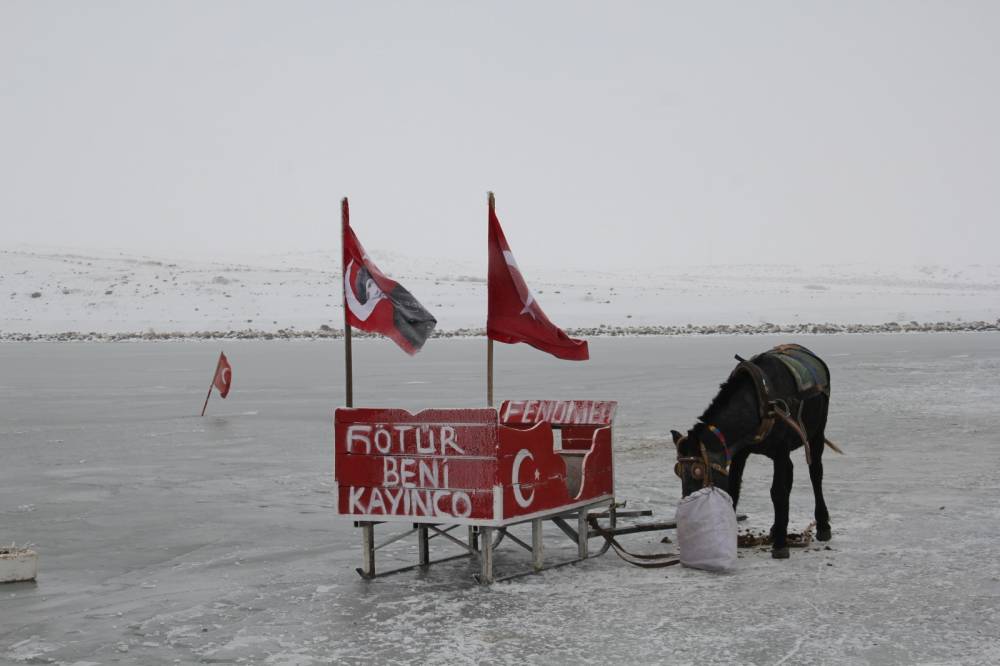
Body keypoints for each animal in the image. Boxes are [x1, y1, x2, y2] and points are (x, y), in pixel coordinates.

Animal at [672, 342, 836, 556]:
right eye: (678, 471)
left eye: (698, 471)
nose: (687, 509)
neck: (759, 401)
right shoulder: (740, 452)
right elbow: (734, 488)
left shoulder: (781, 448)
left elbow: (778, 492)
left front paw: (781, 545)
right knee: (790, 472)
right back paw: (776, 528)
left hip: (817, 431)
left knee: (815, 473)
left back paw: (823, 525)